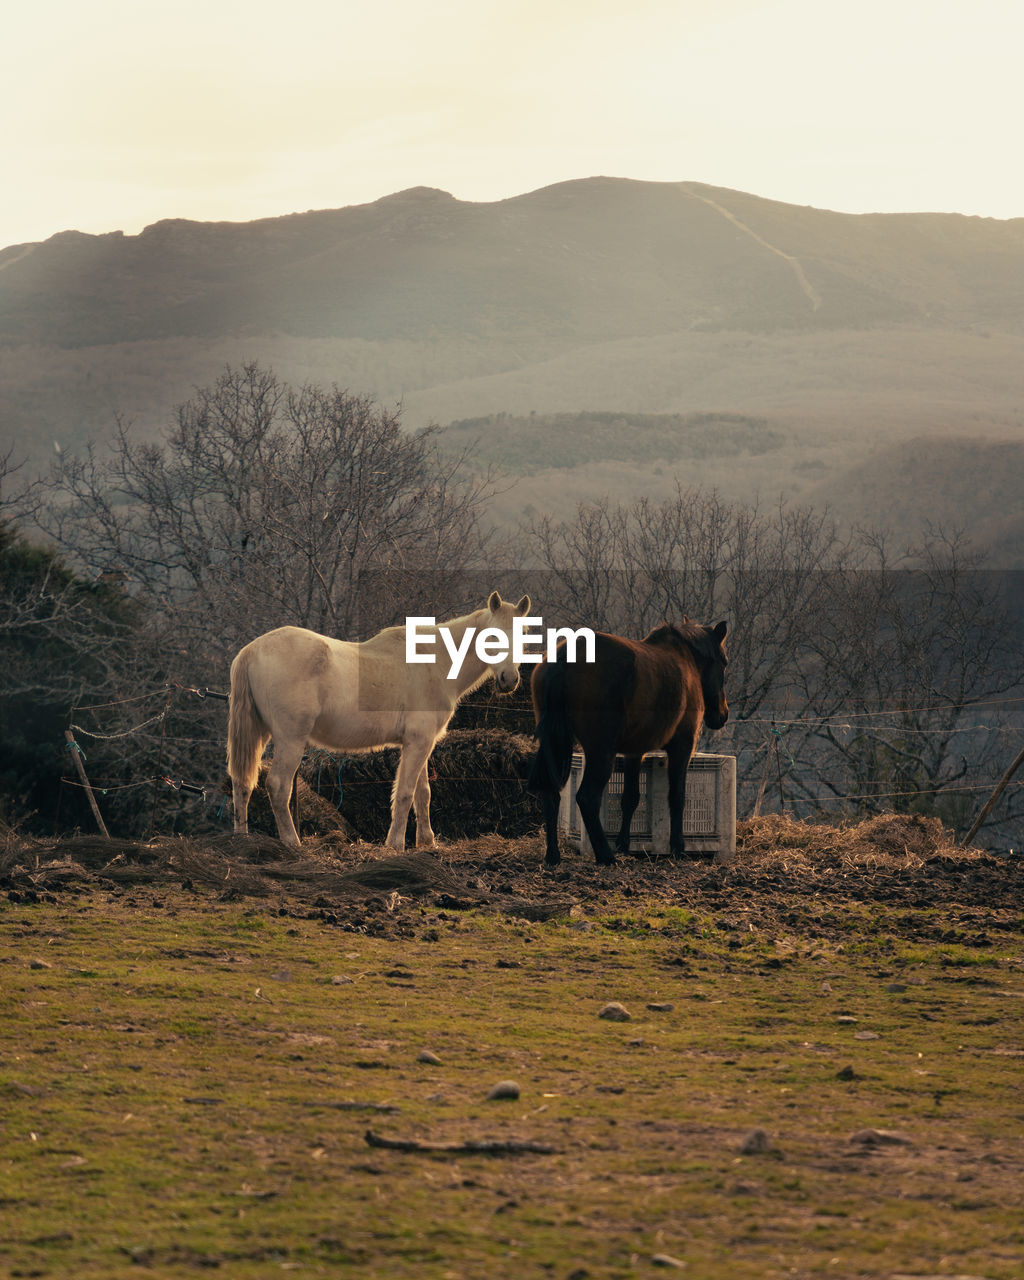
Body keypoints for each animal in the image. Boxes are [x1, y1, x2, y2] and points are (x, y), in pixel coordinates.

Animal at [227, 591, 532, 849]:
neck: (435, 661)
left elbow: (423, 793)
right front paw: (395, 845)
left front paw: (427, 842)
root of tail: (252, 651)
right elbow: (406, 793)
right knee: (278, 786)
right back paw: (292, 843)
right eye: (491, 637)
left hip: (259, 735)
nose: (509, 680)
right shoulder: (419, 742)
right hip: (290, 740)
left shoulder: (420, 743)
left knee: (242, 783)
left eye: (524, 634)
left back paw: (241, 839)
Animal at [527, 622, 727, 865]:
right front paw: (678, 847)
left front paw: (624, 843)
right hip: (601, 752)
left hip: (554, 745)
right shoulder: (683, 745)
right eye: (724, 662)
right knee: (587, 798)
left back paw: (553, 855)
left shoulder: (635, 752)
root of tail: (566, 656)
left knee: (551, 794)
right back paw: (605, 855)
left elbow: (630, 798)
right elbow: (677, 797)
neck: (684, 660)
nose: (722, 715)